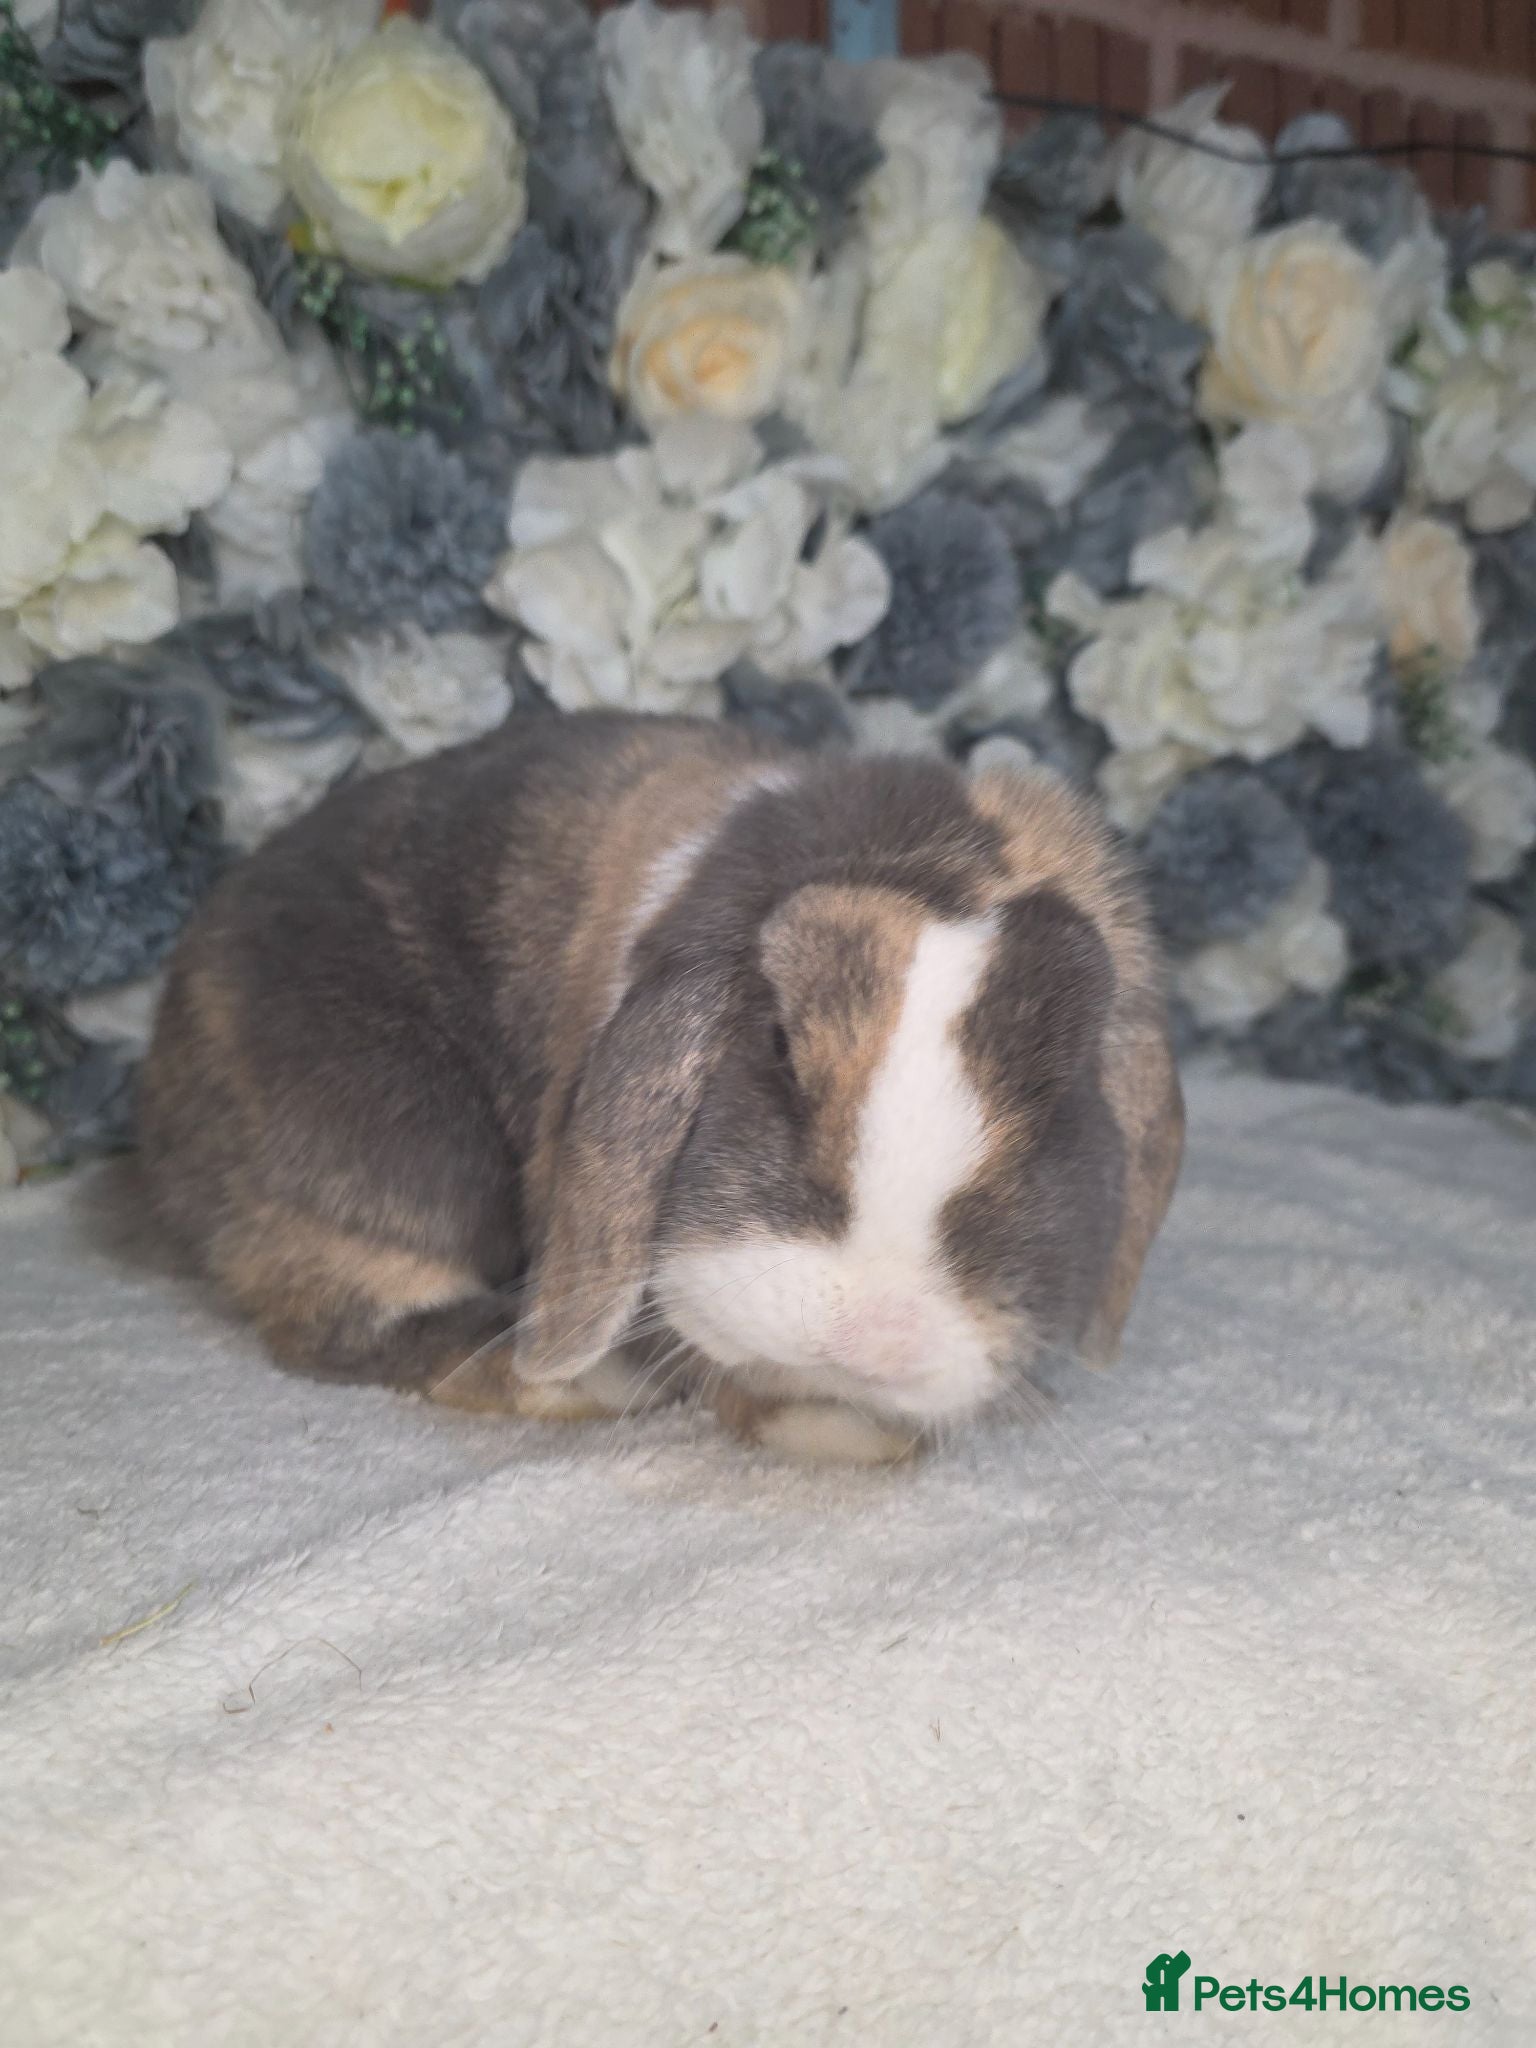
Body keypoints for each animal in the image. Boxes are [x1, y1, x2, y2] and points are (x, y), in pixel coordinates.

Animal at [137, 709, 1184, 1466]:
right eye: (778, 1045)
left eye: (1062, 1095)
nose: (872, 1334)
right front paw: (837, 1427)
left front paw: (847, 1425)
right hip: (406, 1158)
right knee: (338, 1318)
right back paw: (587, 1385)